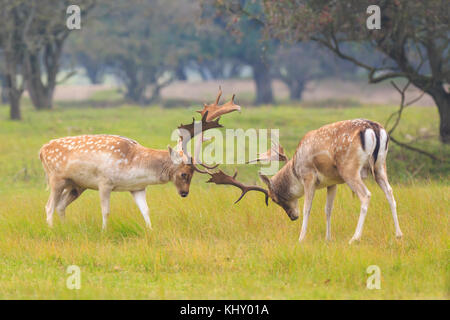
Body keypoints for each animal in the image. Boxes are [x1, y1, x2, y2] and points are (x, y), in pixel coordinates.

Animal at [258, 119, 402, 242]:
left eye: (274, 199)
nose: (293, 217)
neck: (295, 171)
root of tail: (374, 128)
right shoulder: (332, 183)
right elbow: (328, 209)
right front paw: (328, 239)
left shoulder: (308, 176)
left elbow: (307, 208)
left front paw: (301, 238)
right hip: (380, 167)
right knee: (390, 192)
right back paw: (398, 235)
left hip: (349, 169)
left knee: (366, 194)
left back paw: (354, 238)